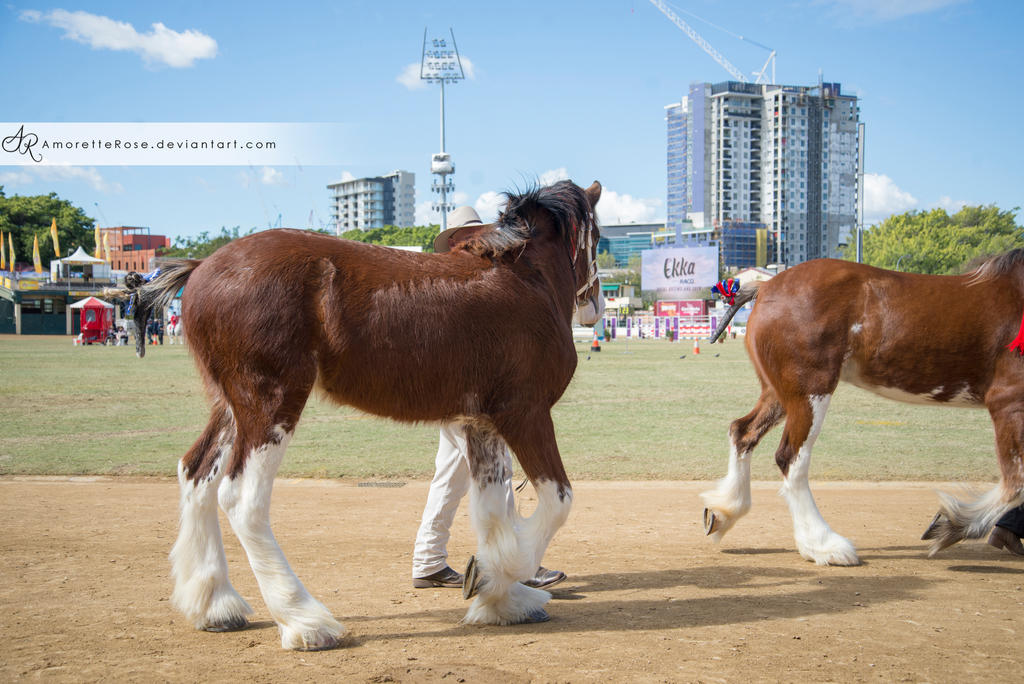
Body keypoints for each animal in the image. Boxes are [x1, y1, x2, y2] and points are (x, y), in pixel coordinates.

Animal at [116, 179, 602, 651]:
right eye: (597, 239)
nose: (595, 308)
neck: (523, 279)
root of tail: (201, 268)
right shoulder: (525, 413)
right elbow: (557, 501)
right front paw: (493, 576)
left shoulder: (479, 424)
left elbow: (493, 510)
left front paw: (502, 598)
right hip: (270, 403)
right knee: (241, 498)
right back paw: (304, 621)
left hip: (231, 408)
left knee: (196, 474)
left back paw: (215, 605)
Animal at [700, 255, 1024, 565]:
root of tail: (766, 286)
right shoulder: (1008, 401)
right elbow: (1016, 484)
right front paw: (951, 526)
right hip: (810, 391)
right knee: (790, 457)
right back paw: (823, 545)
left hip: (780, 393)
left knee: (743, 432)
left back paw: (725, 511)